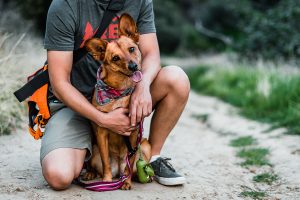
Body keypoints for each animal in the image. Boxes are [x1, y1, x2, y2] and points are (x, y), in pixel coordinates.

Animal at [82, 13, 151, 190]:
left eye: (132, 49)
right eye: (115, 58)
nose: (133, 66)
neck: (119, 92)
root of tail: (118, 168)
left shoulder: (133, 134)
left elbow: (131, 162)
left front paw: (126, 182)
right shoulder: (101, 132)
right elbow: (105, 161)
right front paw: (106, 181)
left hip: (144, 147)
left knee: (132, 166)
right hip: (93, 150)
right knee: (95, 164)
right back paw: (92, 174)